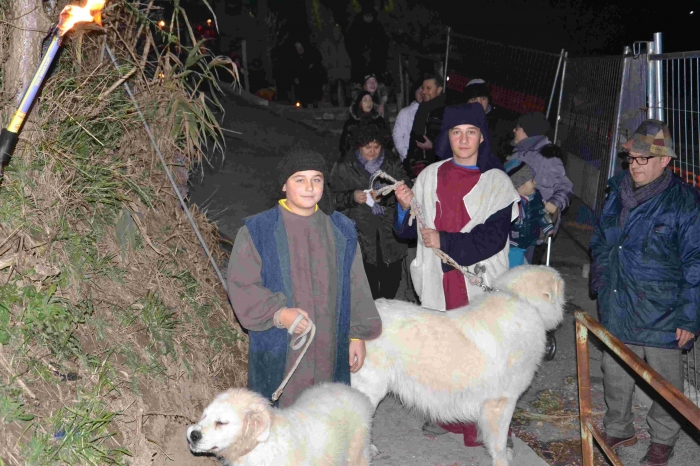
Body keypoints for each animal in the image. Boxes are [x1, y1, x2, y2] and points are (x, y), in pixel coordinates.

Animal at [185, 382, 372, 466]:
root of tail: (356, 392)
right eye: (204, 415)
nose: (193, 435)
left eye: (221, 422)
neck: (257, 447)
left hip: (356, 454)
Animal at [352, 266, 568, 466]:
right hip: (370, 389)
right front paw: (501, 461)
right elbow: (498, 442)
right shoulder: (501, 402)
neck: (524, 301)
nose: (567, 304)